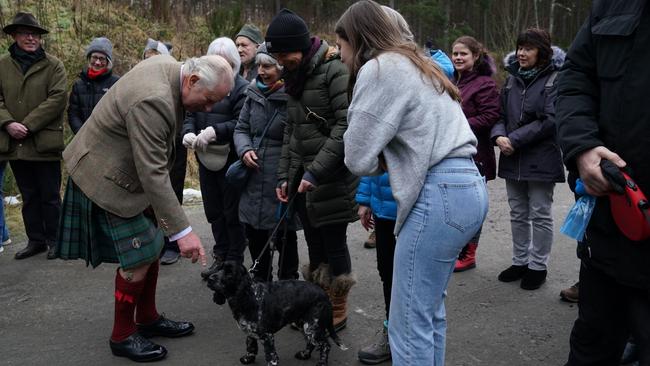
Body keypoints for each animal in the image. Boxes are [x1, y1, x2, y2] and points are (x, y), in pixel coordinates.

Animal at [208, 260, 346, 366]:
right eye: (218, 268)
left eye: (229, 273)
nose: (209, 279)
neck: (250, 297)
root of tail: (325, 295)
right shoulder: (250, 331)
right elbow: (250, 345)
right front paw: (248, 358)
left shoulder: (267, 336)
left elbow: (271, 357)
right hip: (304, 324)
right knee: (311, 342)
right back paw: (304, 354)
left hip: (312, 326)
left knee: (325, 345)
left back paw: (321, 363)